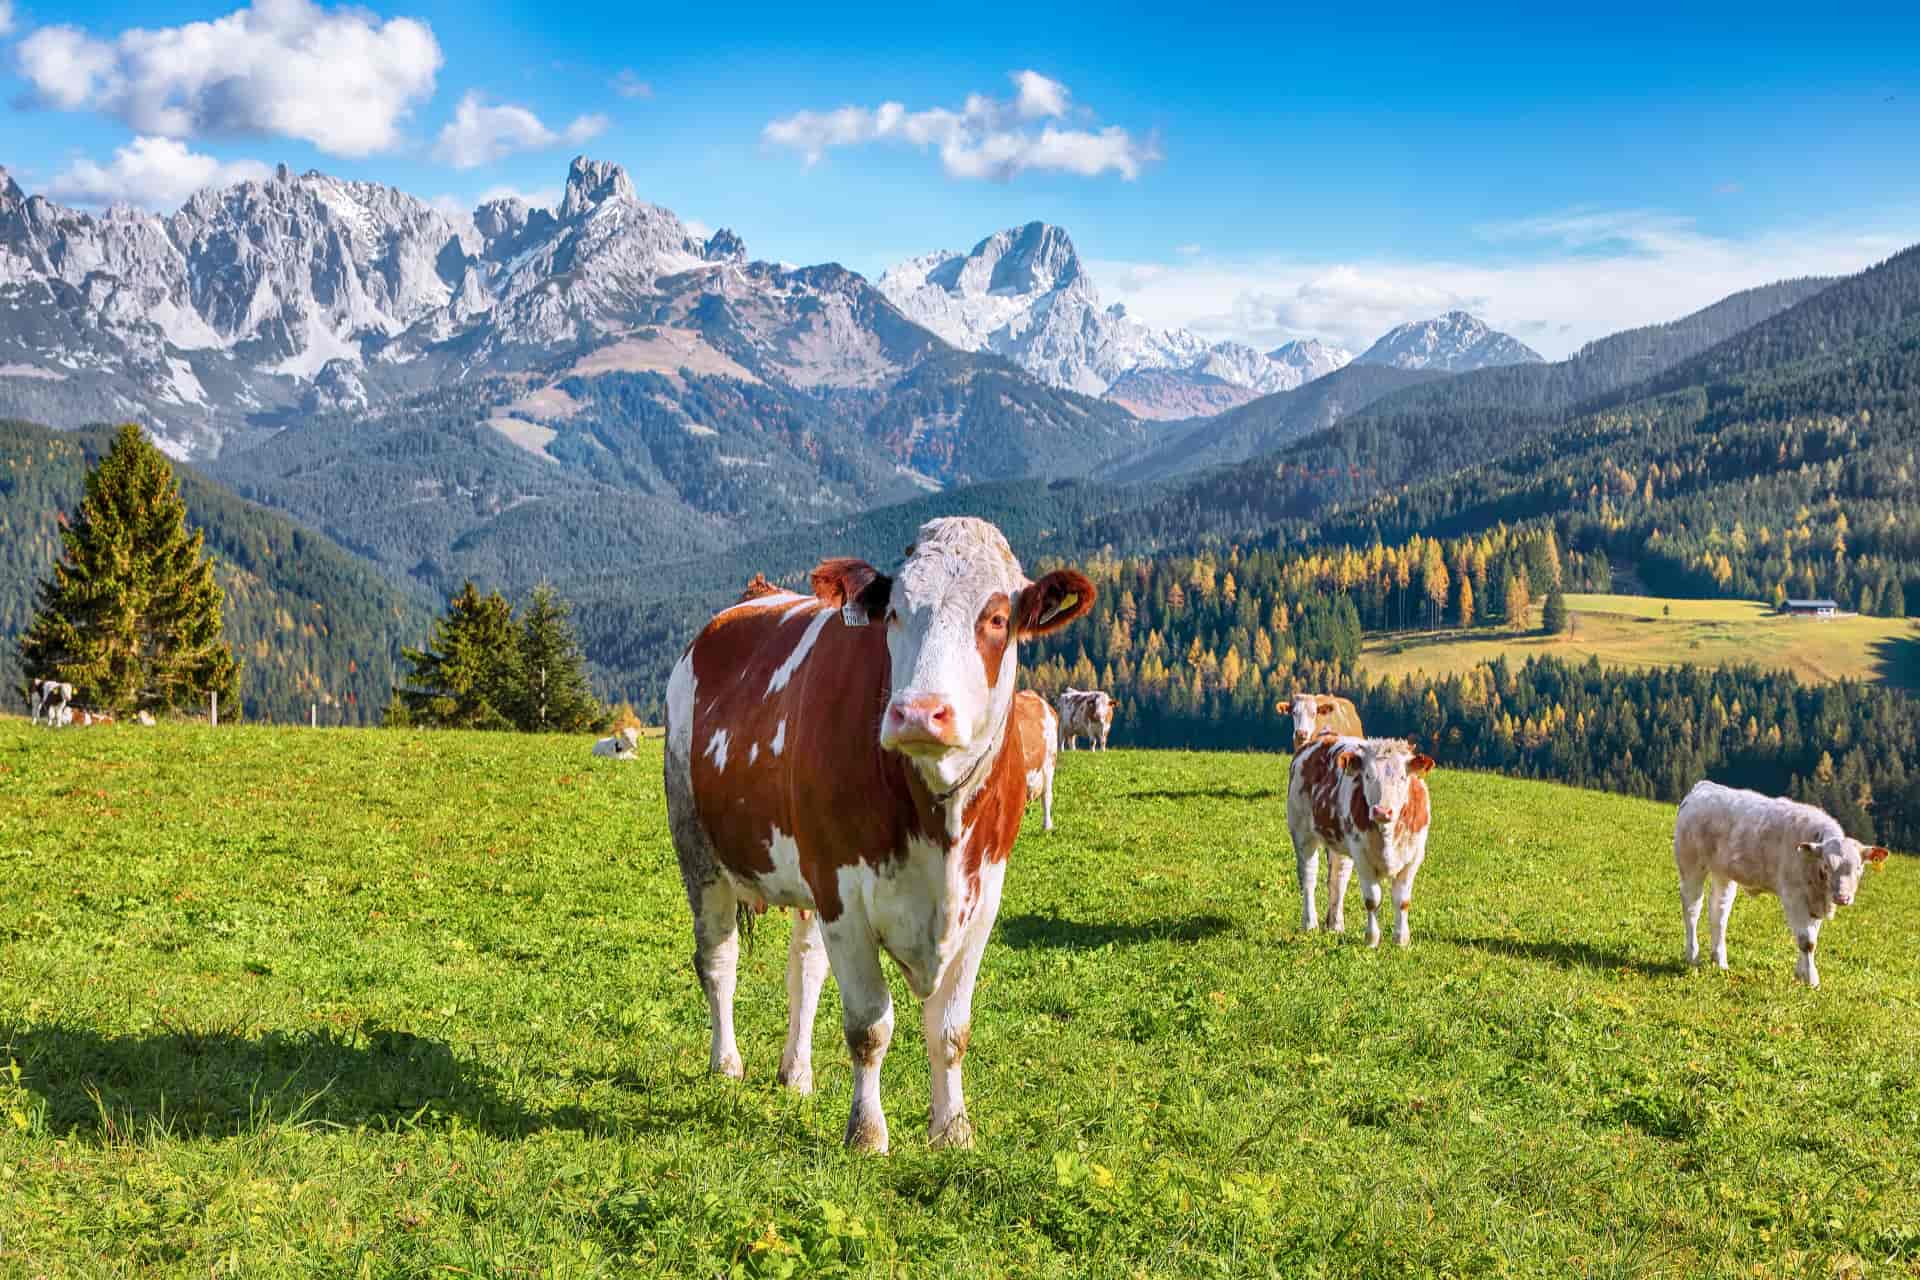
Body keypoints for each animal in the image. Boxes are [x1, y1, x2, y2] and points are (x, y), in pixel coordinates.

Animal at [1288, 736, 1436, 947]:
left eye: (1402, 777)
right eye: (1367, 776)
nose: (1382, 811)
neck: (1387, 835)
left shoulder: (1414, 857)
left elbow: (1402, 900)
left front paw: (1401, 940)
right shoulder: (1362, 856)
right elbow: (1372, 899)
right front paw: (1371, 939)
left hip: (1340, 844)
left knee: (1338, 880)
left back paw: (1336, 925)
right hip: (1301, 831)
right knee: (1308, 877)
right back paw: (1309, 924)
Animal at [1674, 780, 1889, 987]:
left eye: (1859, 868)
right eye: (1827, 865)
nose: (1843, 897)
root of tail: (1703, 787)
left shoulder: (1815, 901)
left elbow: (1813, 937)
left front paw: (1801, 974)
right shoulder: (1794, 896)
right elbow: (1806, 941)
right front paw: (1810, 980)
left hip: (1723, 873)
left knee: (1718, 912)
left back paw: (1720, 962)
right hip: (1691, 863)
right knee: (1692, 908)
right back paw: (1693, 957)